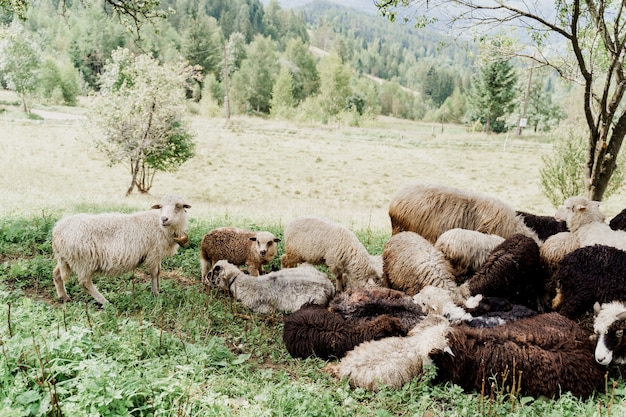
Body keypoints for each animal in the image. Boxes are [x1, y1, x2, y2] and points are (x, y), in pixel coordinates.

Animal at [51, 193, 190, 304]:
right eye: (160, 206)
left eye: (178, 206)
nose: (164, 219)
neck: (159, 225)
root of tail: (57, 230)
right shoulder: (153, 253)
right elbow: (155, 273)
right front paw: (156, 294)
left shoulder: (156, 254)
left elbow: (159, 272)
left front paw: (157, 291)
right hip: (84, 261)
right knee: (85, 283)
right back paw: (105, 302)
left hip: (66, 259)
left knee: (57, 274)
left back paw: (64, 297)